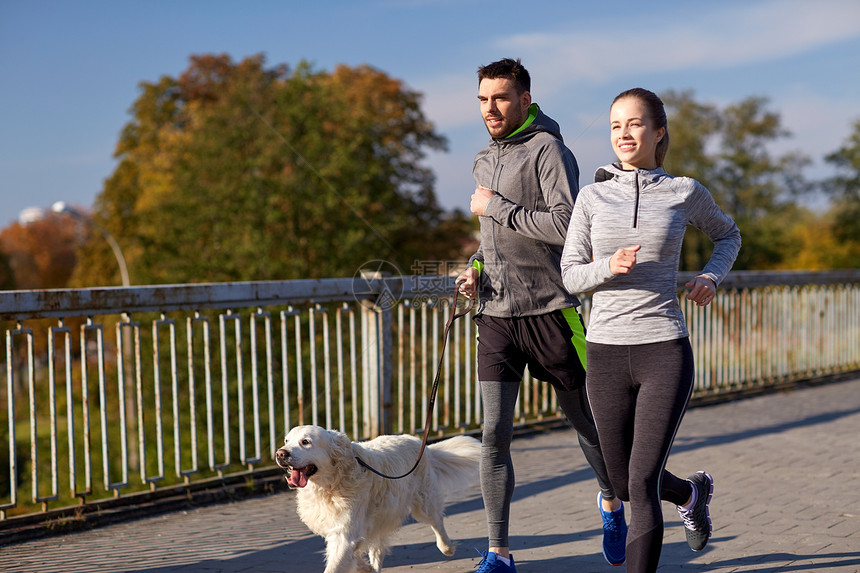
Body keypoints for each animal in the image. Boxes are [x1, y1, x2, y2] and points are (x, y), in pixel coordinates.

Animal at [276, 424, 480, 572]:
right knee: (378, 549)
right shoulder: (344, 531)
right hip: (380, 518)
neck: (330, 485)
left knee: (437, 521)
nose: (280, 453)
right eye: (286, 440)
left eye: (305, 442)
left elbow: (336, 565)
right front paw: (362, 566)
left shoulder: (344, 533)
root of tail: (421, 444)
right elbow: (353, 555)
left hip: (423, 503)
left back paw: (447, 547)